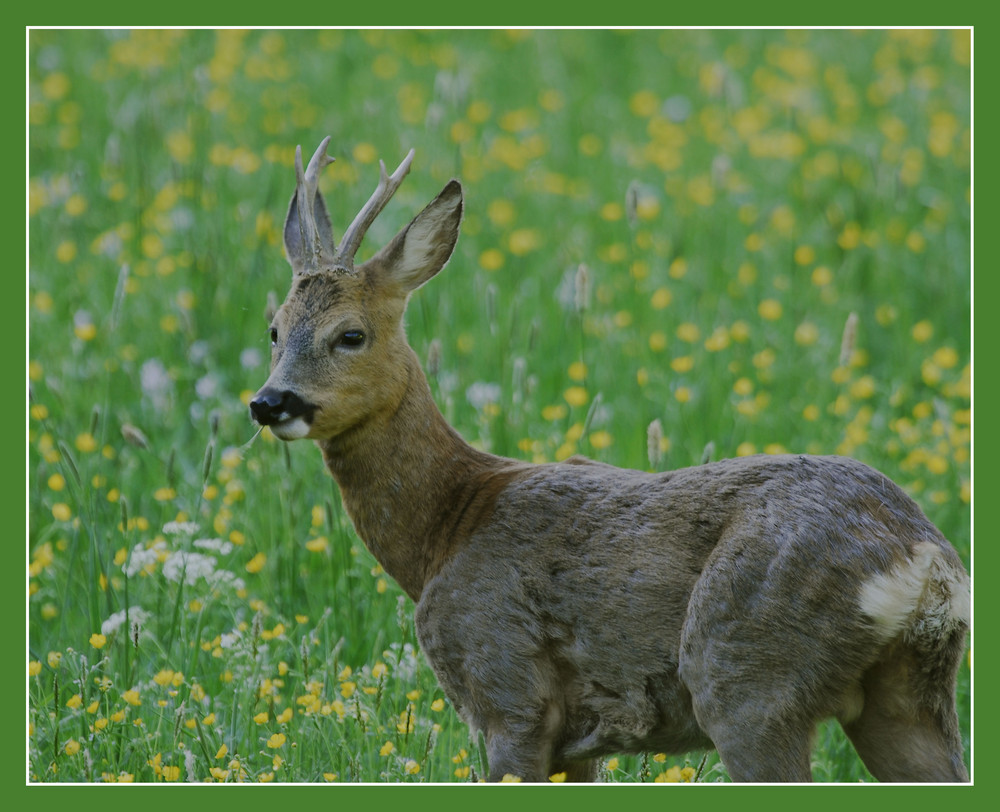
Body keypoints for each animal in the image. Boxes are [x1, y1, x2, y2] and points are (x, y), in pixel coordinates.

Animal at [250, 136, 968, 784]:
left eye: (351, 334)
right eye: (274, 329)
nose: (269, 402)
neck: (445, 528)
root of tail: (921, 558)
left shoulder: (507, 688)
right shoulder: (577, 741)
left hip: (747, 674)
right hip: (905, 697)